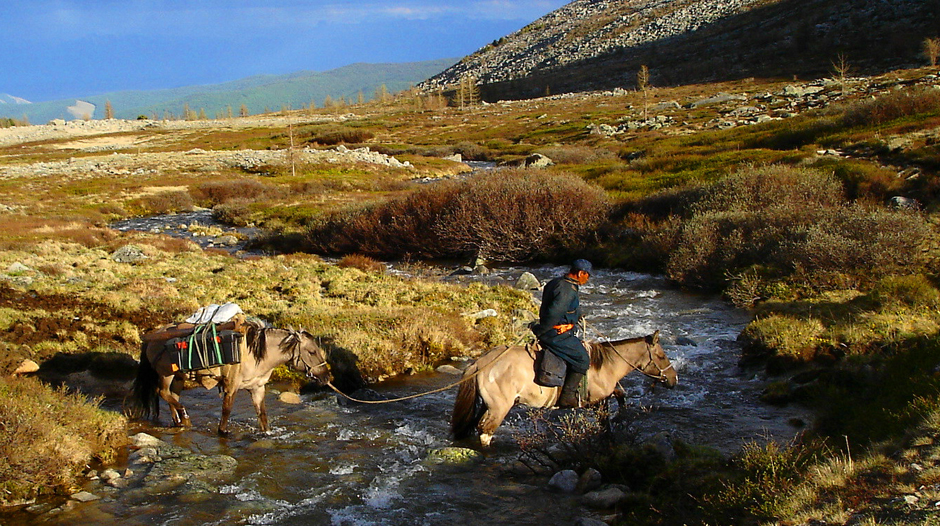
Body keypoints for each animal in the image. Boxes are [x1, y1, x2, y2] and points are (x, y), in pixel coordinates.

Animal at [130, 320, 330, 436]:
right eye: (312, 351)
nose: (326, 376)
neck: (255, 354)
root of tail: (152, 337)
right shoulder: (231, 386)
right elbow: (226, 412)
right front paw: (223, 432)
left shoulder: (257, 388)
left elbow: (263, 416)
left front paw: (267, 433)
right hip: (166, 373)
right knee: (162, 392)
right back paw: (184, 416)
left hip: (179, 376)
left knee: (173, 396)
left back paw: (180, 421)